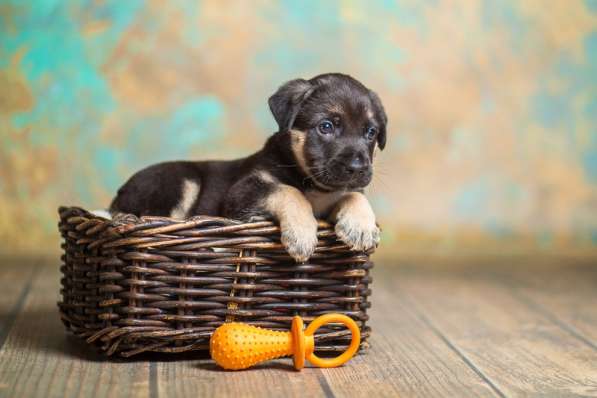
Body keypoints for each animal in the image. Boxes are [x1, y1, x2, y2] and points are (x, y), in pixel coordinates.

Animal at [110, 73, 386, 262]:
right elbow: (288, 191)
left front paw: (361, 227)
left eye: (371, 132)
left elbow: (354, 195)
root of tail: (116, 197)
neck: (312, 183)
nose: (357, 167)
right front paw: (302, 233)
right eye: (326, 127)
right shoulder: (243, 190)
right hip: (180, 181)